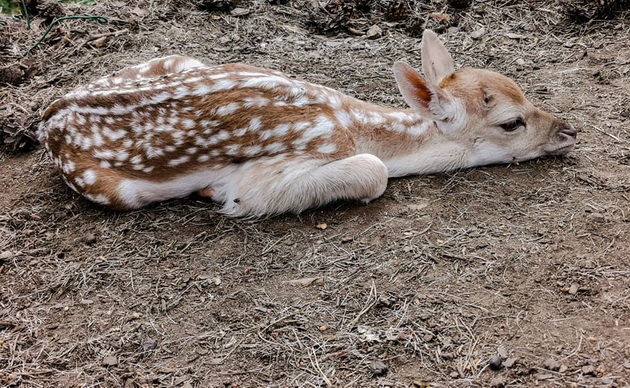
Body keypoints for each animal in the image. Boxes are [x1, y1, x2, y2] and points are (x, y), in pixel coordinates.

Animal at [38, 30, 576, 217]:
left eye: (521, 90)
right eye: (511, 123)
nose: (570, 131)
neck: (353, 124)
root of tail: (47, 116)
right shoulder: (263, 177)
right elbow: (374, 172)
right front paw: (212, 192)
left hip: (179, 57)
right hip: (111, 189)